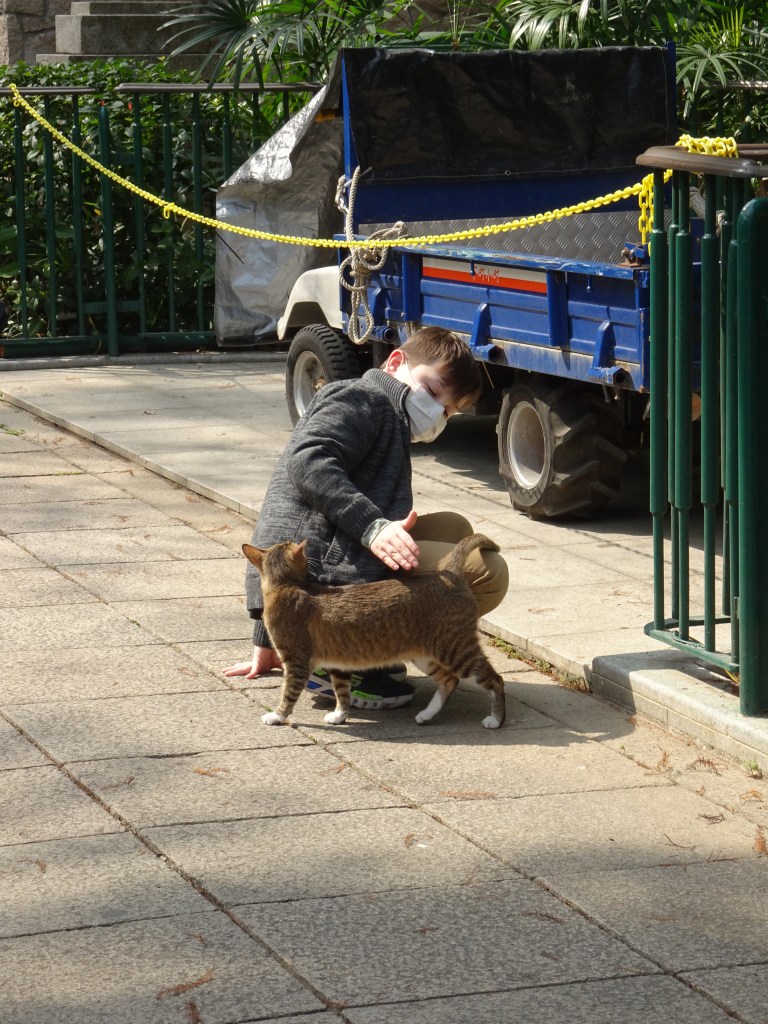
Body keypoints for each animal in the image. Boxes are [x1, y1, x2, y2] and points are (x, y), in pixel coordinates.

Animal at [242, 534, 506, 730]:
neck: (288, 585)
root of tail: (451, 574)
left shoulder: (296, 660)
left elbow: (289, 693)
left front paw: (277, 716)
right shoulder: (339, 664)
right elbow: (342, 692)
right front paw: (340, 716)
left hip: (455, 649)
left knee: (494, 679)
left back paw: (496, 719)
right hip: (425, 655)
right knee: (448, 680)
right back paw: (427, 714)